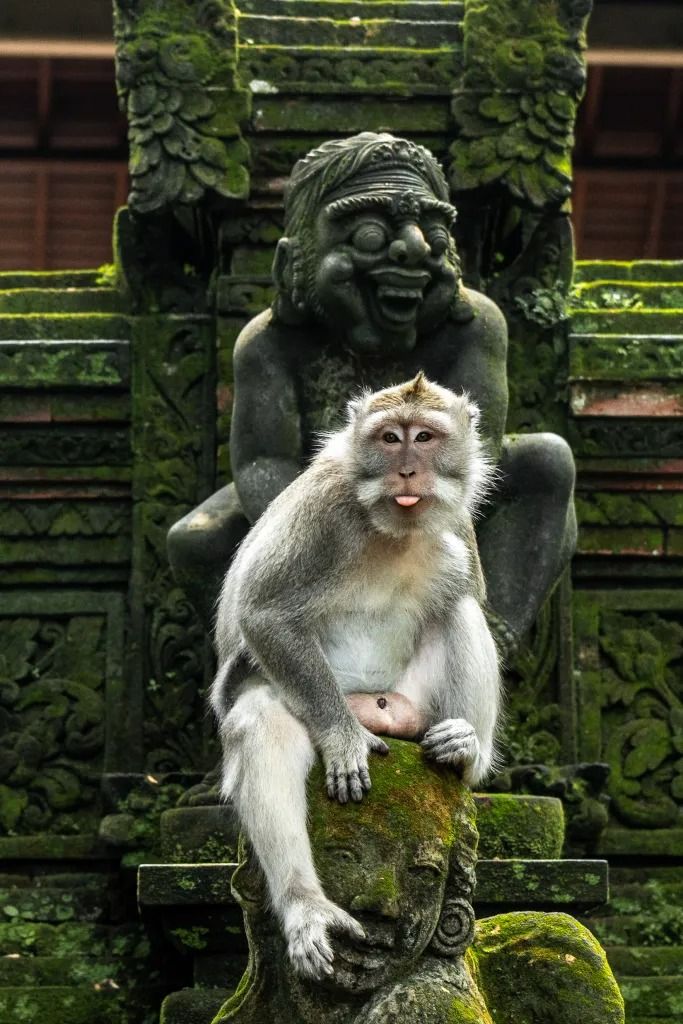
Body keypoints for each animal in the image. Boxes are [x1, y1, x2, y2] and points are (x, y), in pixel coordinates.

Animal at [210, 372, 501, 981]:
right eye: (390, 438)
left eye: (424, 437)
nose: (407, 470)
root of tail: (377, 707)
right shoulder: (325, 508)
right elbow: (265, 614)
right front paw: (344, 742)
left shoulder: (457, 518)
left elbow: (472, 596)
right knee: (262, 720)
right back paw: (305, 906)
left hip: (412, 702)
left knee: (458, 603)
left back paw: (465, 751)